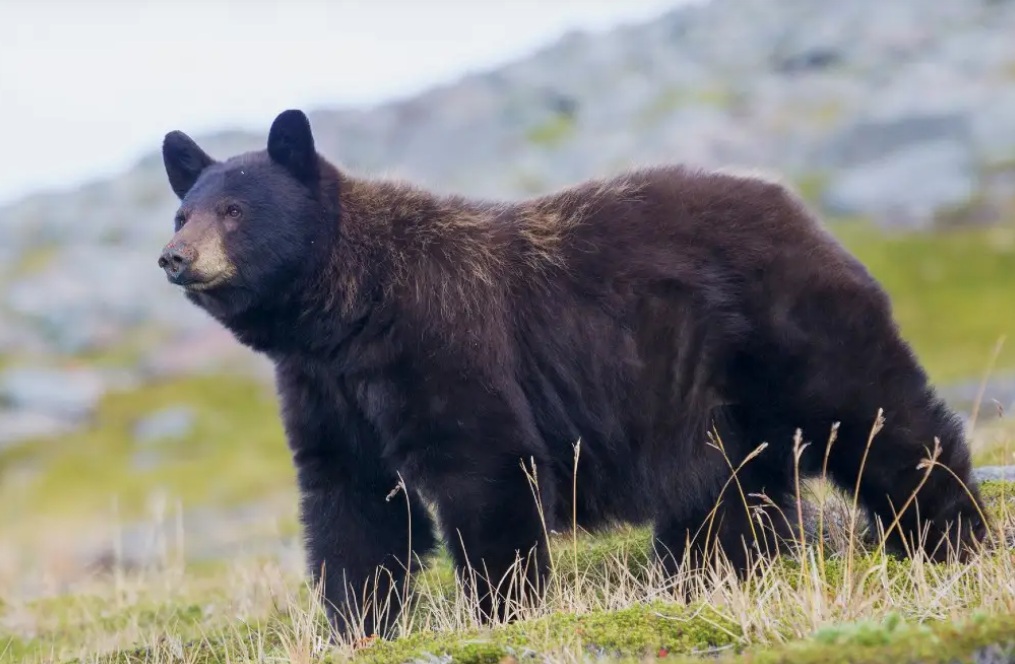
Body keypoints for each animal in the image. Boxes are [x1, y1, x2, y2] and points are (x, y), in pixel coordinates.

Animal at [158, 109, 988, 640]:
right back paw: (707, 575)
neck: (346, 314)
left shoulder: (440, 342)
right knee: (726, 490)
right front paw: (358, 621)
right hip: (704, 392)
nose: (175, 257)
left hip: (788, 331)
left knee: (877, 419)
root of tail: (797, 207)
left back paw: (951, 535)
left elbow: (482, 470)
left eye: (234, 209)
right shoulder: (326, 392)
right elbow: (351, 502)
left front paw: (500, 607)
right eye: (183, 212)